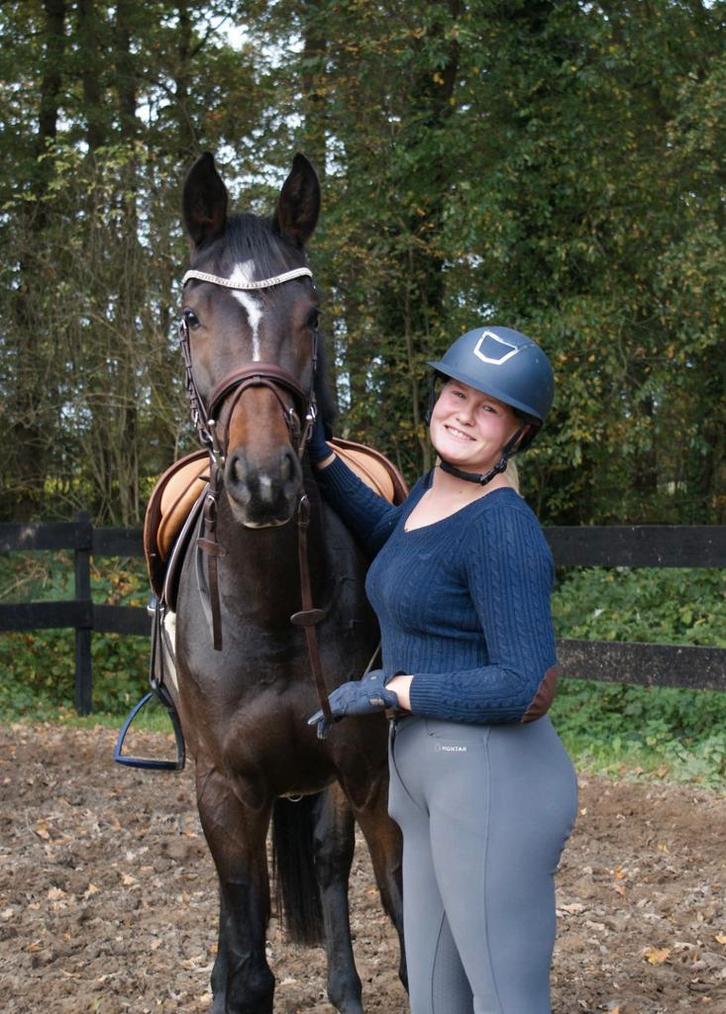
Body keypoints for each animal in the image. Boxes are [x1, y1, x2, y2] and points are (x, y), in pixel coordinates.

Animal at [167, 151, 405, 1013]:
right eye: (193, 317)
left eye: (312, 314)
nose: (265, 479)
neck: (267, 607)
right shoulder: (226, 790)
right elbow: (248, 958)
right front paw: (226, 981)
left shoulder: (366, 773)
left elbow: (399, 908)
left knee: (330, 864)